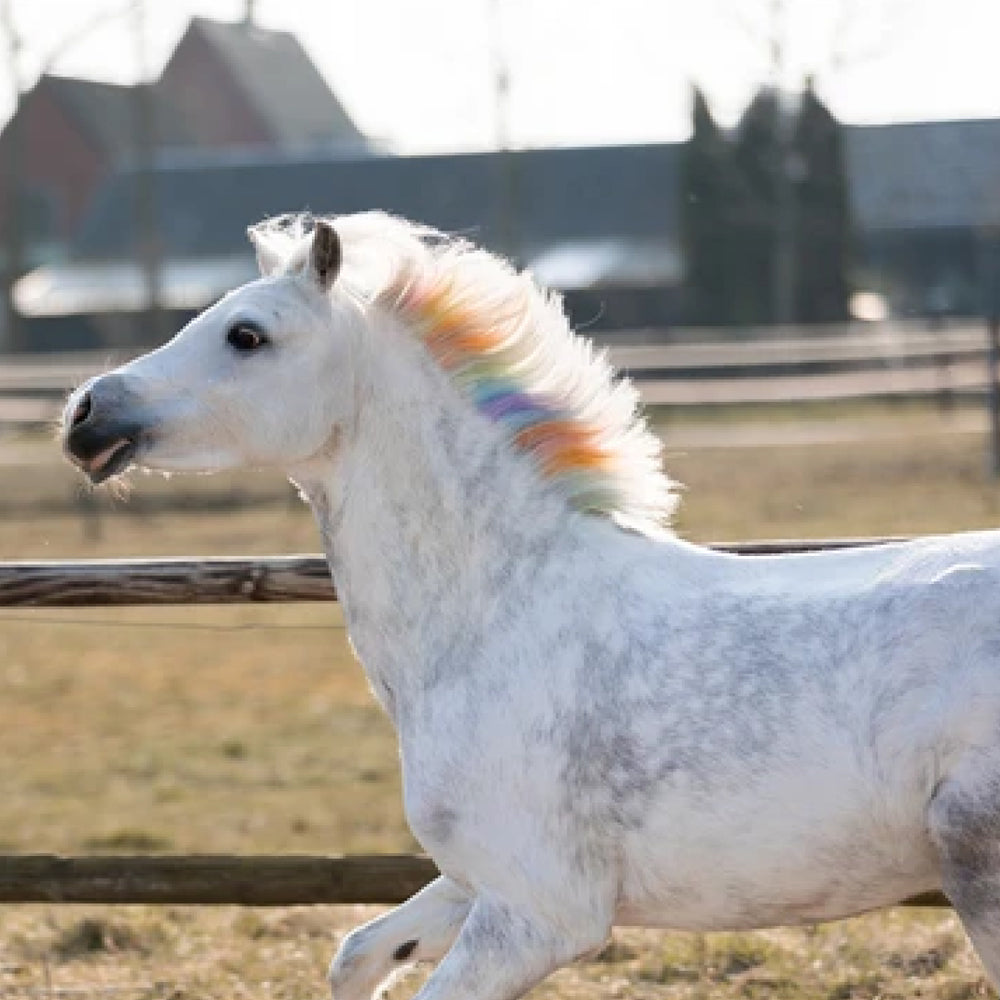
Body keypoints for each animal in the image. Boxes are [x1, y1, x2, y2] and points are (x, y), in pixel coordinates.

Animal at [66, 213, 1000, 1000]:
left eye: (247, 334)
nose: (85, 412)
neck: (499, 615)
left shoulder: (540, 915)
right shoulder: (475, 879)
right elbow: (357, 953)